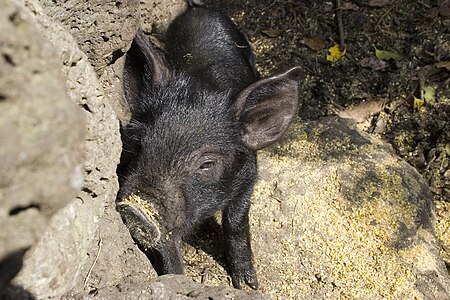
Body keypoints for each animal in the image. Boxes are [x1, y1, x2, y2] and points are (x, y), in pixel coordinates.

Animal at [117, 1, 302, 290]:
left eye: (206, 164)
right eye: (138, 144)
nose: (136, 208)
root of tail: (198, 8)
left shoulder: (248, 175)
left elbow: (236, 222)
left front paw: (247, 284)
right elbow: (167, 246)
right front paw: (178, 281)